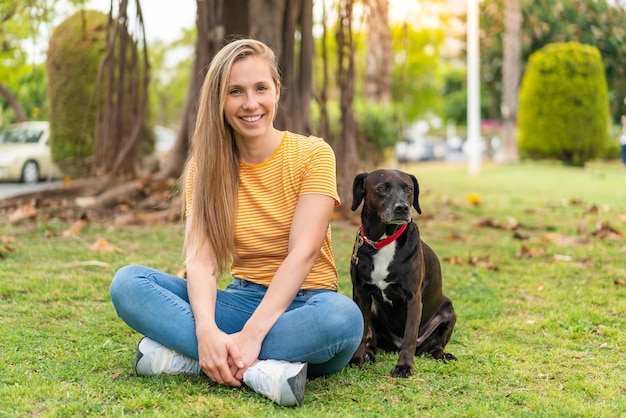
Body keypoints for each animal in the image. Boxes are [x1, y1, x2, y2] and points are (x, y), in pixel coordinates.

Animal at [346, 168, 454, 378]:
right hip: (373, 310)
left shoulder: (413, 299)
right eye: (382, 188)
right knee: (372, 339)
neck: (384, 241)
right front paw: (356, 360)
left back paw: (443, 355)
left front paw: (404, 367)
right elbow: (362, 332)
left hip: (449, 312)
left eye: (408, 189)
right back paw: (368, 354)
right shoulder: (361, 293)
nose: (402, 208)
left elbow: (409, 337)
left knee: (436, 346)